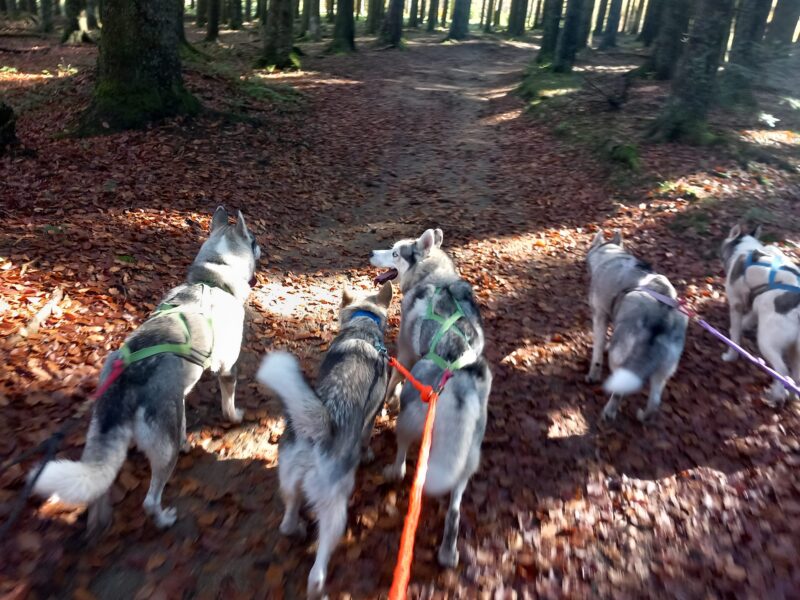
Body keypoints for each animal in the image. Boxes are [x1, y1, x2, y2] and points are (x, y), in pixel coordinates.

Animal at [31, 206, 261, 533]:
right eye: (253, 239)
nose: (261, 245)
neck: (214, 278)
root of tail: (125, 382)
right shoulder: (228, 367)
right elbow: (228, 403)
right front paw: (235, 417)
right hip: (164, 452)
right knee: (151, 500)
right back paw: (164, 518)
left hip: (104, 440)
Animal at [256, 283, 392, 598]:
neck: (362, 325)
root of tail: (317, 431)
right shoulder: (372, 415)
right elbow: (366, 438)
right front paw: (367, 454)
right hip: (335, 512)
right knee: (317, 572)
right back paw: (321, 589)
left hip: (289, 482)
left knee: (287, 522)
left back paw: (297, 530)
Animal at [370, 228, 492, 568]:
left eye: (395, 253)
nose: (371, 253)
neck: (434, 275)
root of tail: (458, 378)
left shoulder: (405, 354)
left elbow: (394, 380)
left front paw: (387, 403)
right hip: (467, 460)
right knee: (454, 510)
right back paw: (448, 552)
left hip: (411, 419)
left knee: (401, 461)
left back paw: (391, 472)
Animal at [586, 230, 688, 422]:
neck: (612, 255)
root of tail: (661, 316)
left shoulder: (599, 317)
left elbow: (597, 354)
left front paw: (593, 375)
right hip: (663, 371)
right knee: (654, 402)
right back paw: (643, 416)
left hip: (619, 360)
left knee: (619, 390)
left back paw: (609, 412)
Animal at [721, 224, 800, 405]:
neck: (747, 249)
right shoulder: (755, 303)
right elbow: (748, 319)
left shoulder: (736, 304)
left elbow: (735, 335)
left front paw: (731, 355)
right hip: (795, 349)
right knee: (796, 374)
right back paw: (791, 396)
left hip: (766, 341)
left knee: (782, 370)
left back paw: (776, 394)